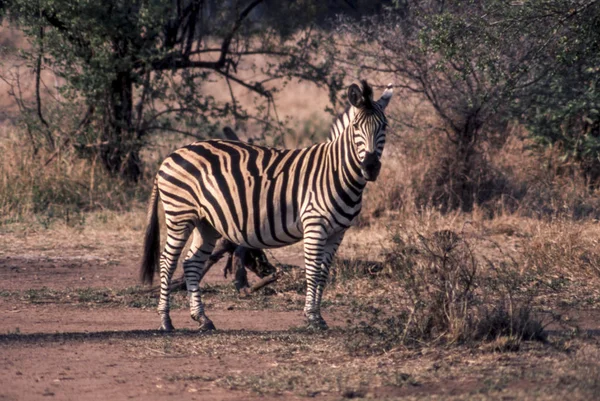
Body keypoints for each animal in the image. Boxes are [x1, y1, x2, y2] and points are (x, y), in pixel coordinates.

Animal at [141, 79, 394, 330]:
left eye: (384, 126)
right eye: (356, 127)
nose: (370, 167)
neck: (336, 172)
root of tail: (171, 155)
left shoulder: (337, 232)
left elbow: (323, 274)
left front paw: (318, 316)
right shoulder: (314, 224)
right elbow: (312, 272)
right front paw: (312, 317)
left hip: (206, 223)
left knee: (192, 263)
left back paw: (203, 319)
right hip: (180, 216)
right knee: (167, 262)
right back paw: (165, 320)